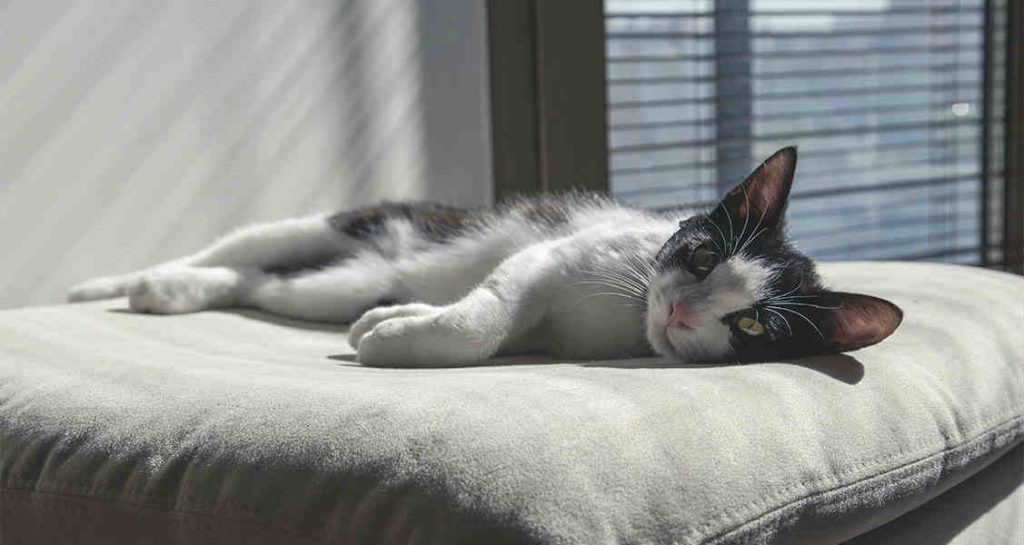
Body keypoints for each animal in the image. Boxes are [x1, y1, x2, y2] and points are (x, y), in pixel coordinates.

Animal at [70, 146, 905, 366]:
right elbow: (490, 308)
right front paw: (398, 337)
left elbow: (484, 320)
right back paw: (121, 282)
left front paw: (394, 324)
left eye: (753, 325)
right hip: (355, 221)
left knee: (259, 281)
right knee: (245, 245)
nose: (676, 309)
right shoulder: (553, 252)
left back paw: (173, 291)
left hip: (334, 281)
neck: (625, 319)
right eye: (699, 257)